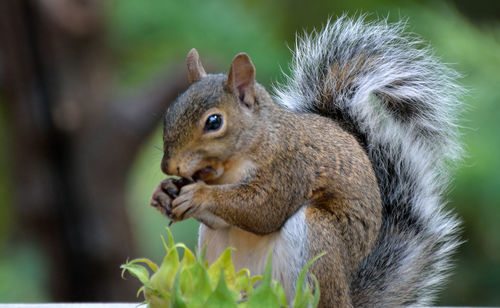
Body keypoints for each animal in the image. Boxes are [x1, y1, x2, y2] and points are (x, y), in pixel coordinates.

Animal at [149, 16, 464, 306]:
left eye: (214, 122)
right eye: (170, 111)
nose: (168, 167)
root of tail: (347, 296)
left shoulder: (291, 169)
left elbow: (263, 210)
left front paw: (200, 195)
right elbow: (221, 218)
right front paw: (164, 191)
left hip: (317, 237)